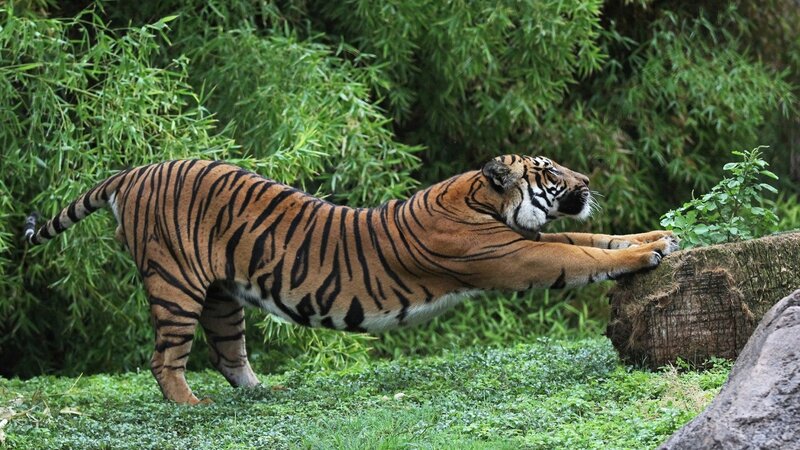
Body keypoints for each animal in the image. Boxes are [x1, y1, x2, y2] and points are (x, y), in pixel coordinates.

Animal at [23, 155, 678, 404]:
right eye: (549, 172)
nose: (587, 181)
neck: (481, 201)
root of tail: (133, 171)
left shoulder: (529, 241)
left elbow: (595, 241)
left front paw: (657, 237)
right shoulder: (517, 256)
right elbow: (582, 257)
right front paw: (649, 252)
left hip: (221, 296)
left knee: (229, 354)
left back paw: (263, 393)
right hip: (176, 285)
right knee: (165, 359)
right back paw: (190, 404)